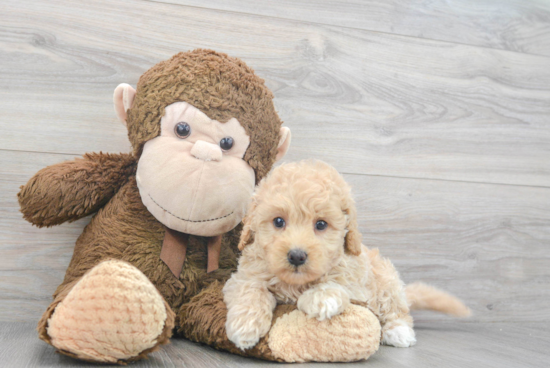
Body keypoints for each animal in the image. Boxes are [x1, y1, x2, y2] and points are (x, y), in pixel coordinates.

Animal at [224, 160, 470, 350]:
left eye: (321, 224)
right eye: (278, 221)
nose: (296, 256)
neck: (296, 283)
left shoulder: (357, 284)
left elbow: (337, 284)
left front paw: (320, 298)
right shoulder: (243, 275)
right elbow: (251, 288)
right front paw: (245, 324)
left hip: (387, 281)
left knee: (397, 310)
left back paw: (399, 332)